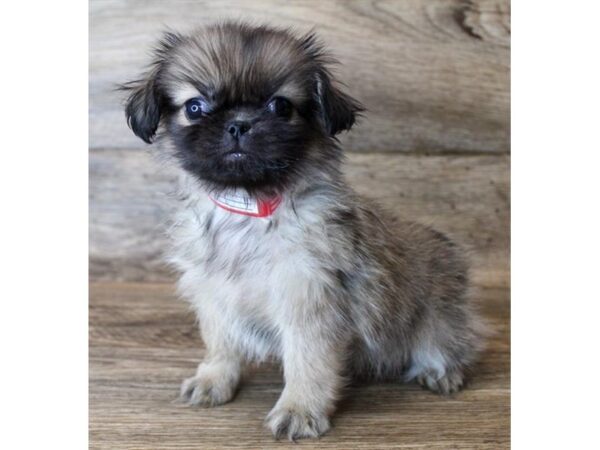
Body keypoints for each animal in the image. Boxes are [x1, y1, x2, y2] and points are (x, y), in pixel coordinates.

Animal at [122, 22, 482, 442]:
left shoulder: (308, 301)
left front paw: (300, 409)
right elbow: (221, 345)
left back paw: (441, 371)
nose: (239, 123)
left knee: (449, 344)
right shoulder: (215, 298)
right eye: (194, 107)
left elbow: (307, 362)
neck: (252, 208)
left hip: (437, 318)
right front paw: (214, 379)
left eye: (281, 106)